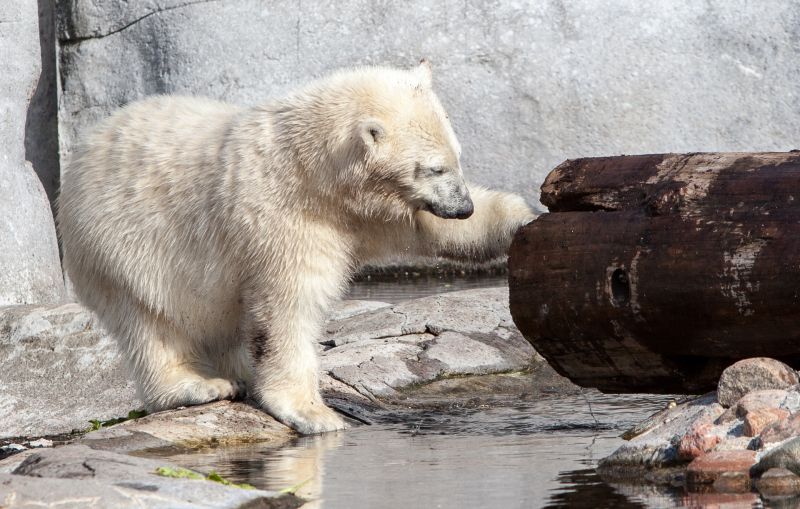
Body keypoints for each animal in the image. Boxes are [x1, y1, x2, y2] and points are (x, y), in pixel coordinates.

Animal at [57, 60, 536, 432]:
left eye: (457, 158)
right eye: (434, 168)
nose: (463, 206)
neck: (308, 171)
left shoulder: (365, 213)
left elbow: (428, 227)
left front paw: (523, 218)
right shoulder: (284, 219)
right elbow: (288, 306)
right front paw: (313, 413)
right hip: (122, 245)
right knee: (149, 321)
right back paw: (199, 385)